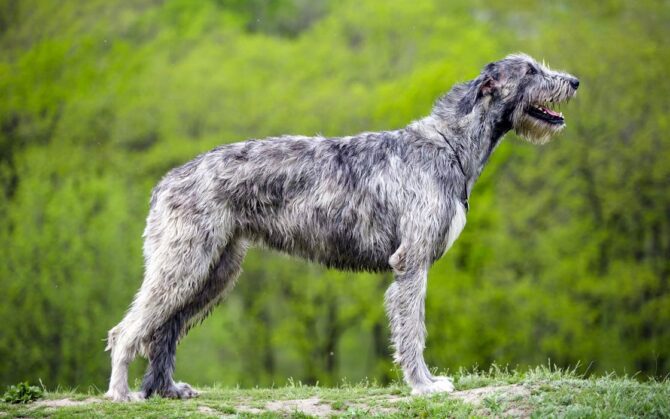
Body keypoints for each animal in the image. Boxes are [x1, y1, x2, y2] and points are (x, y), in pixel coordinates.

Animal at [107, 54, 580, 402]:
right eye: (531, 70)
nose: (574, 81)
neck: (448, 145)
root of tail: (166, 181)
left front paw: (425, 383)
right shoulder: (411, 263)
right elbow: (413, 330)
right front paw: (425, 385)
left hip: (214, 271)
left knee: (164, 330)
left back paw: (166, 390)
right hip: (184, 262)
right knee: (126, 331)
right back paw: (121, 394)